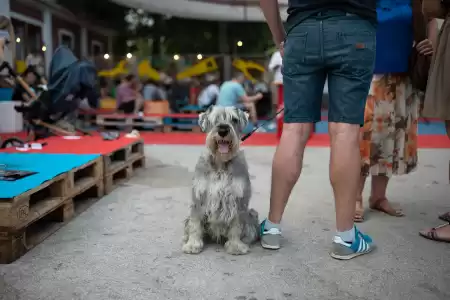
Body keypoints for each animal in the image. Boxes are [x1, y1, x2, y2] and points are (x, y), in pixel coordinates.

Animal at [182, 106, 260, 254]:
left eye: (234, 119)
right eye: (215, 119)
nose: (223, 130)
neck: (220, 164)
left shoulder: (238, 199)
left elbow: (236, 225)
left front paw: (235, 245)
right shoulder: (199, 197)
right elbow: (195, 223)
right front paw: (193, 244)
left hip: (252, 213)